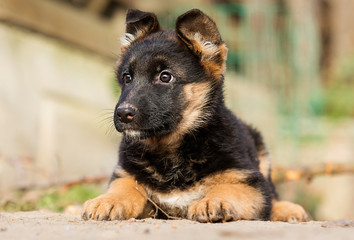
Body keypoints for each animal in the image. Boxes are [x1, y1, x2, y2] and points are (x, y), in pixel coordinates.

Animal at [81, 9, 308, 223]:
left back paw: (288, 209)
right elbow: (126, 187)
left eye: (165, 77)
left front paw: (212, 202)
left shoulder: (250, 182)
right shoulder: (128, 177)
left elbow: (228, 188)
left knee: (274, 195)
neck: (170, 150)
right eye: (127, 77)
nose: (123, 113)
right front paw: (107, 201)